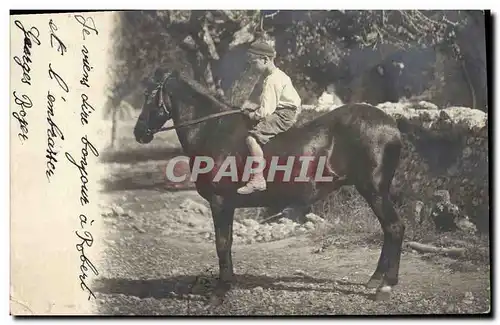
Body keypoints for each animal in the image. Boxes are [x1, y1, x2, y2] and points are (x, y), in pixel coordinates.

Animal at [134, 68, 406, 304]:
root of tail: (392, 126)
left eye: (149, 95)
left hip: (374, 191)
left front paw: (219, 293)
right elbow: (227, 243)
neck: (212, 131)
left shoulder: (220, 202)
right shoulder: (226, 205)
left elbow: (222, 244)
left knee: (394, 228)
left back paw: (385, 286)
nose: (139, 133)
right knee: (389, 229)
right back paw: (376, 280)